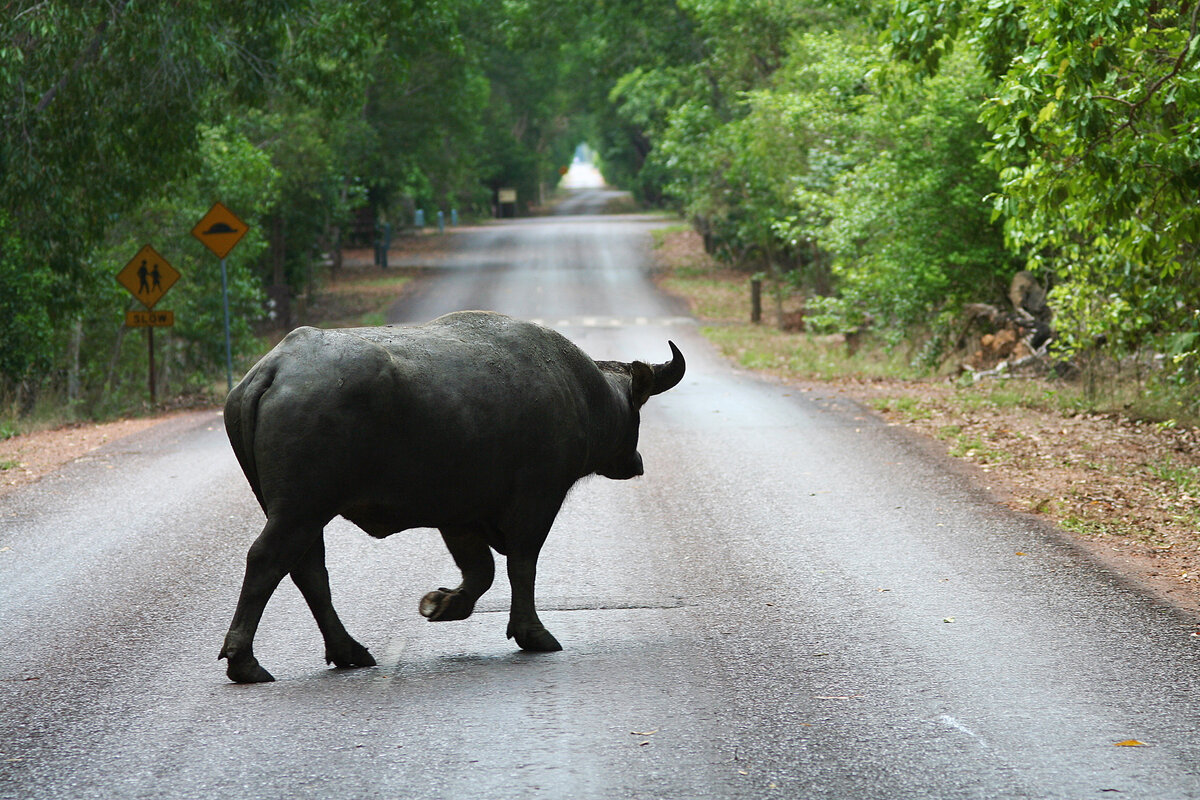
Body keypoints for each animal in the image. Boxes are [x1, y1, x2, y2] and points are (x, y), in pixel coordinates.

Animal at [217, 311, 686, 681]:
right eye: (637, 410)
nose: (636, 461)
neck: (579, 391)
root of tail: (274, 368)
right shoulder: (537, 500)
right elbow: (522, 565)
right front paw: (532, 633)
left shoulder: (459, 515)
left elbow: (481, 572)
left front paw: (442, 605)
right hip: (301, 509)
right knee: (267, 561)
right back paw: (245, 662)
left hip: (297, 512)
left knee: (308, 571)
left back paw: (347, 650)